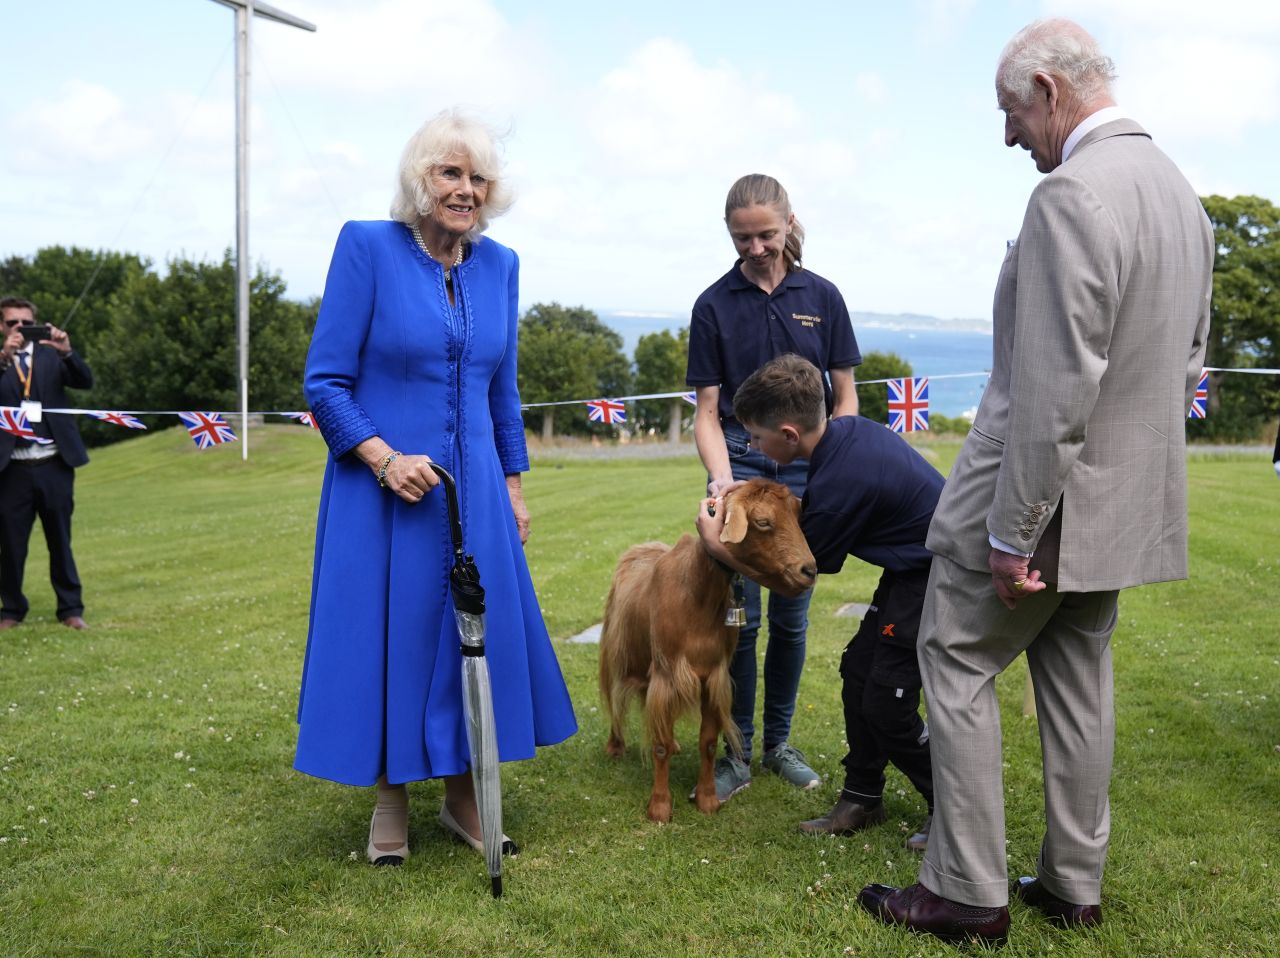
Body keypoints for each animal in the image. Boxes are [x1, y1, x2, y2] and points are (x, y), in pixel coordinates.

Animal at [601, 478, 819, 824]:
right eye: (763, 522)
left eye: (797, 517)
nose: (809, 571)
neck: (696, 594)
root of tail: (641, 548)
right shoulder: (666, 674)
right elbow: (659, 745)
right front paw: (659, 808)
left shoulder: (713, 677)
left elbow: (707, 742)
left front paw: (707, 800)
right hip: (617, 652)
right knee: (614, 699)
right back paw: (615, 746)